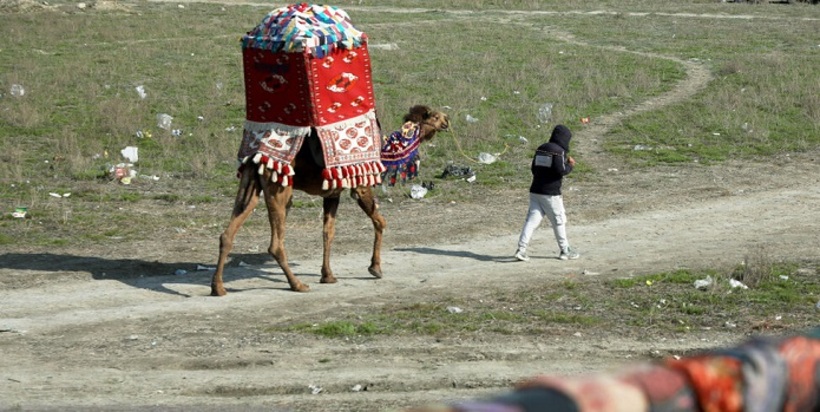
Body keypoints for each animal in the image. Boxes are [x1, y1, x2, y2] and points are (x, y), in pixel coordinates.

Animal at [208, 104, 452, 294]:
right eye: (435, 116)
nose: (448, 120)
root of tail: (256, 157)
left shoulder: (333, 194)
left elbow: (328, 233)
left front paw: (328, 275)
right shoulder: (360, 186)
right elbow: (380, 222)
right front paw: (375, 268)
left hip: (250, 186)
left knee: (227, 233)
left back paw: (218, 288)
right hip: (280, 188)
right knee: (275, 243)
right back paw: (297, 285)